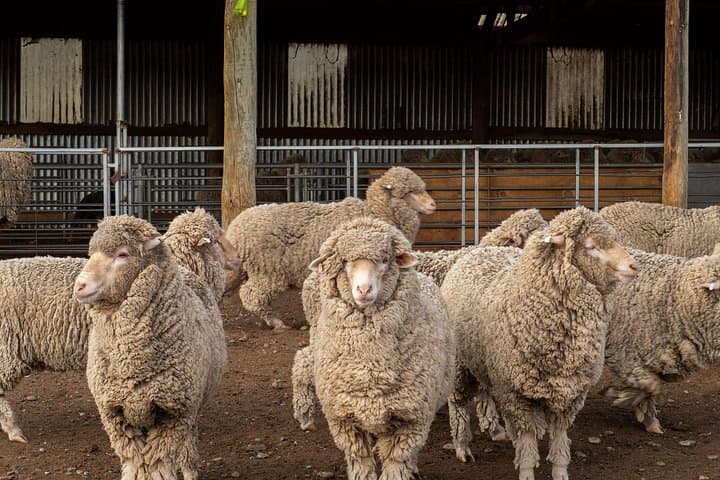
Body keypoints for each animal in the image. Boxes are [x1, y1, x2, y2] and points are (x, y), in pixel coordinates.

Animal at [73, 215, 227, 480]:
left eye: (122, 254)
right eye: (91, 254)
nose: (79, 286)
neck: (131, 363)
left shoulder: (174, 414)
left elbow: (157, 465)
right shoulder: (115, 415)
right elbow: (136, 464)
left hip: (192, 405)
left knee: (188, 441)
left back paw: (189, 468)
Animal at [224, 166, 436, 329]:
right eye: (410, 192)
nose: (433, 205)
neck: (373, 212)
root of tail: (235, 229)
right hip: (267, 270)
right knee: (251, 296)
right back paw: (276, 321)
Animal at [292, 216, 454, 480]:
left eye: (385, 260)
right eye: (345, 262)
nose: (364, 290)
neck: (370, 366)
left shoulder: (410, 420)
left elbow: (397, 462)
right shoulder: (345, 421)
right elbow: (361, 461)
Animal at [441, 206, 637, 480]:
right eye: (591, 246)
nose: (633, 265)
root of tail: (482, 249)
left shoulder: (569, 393)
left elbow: (559, 438)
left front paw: (560, 470)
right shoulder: (517, 393)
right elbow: (527, 440)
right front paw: (526, 468)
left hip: (485, 362)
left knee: (485, 392)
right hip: (460, 363)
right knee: (457, 402)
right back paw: (462, 446)